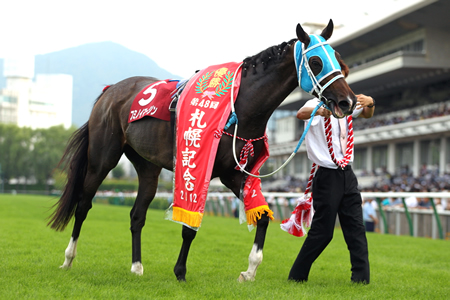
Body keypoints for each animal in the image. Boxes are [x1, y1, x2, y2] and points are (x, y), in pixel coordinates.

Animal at [45, 19, 356, 282]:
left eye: (338, 59)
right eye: (316, 61)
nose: (347, 101)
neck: (239, 108)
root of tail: (109, 91)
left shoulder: (234, 173)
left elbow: (262, 216)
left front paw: (250, 270)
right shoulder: (199, 165)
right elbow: (189, 225)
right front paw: (180, 272)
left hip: (148, 166)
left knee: (136, 215)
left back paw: (136, 267)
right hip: (102, 158)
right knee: (83, 205)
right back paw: (68, 259)